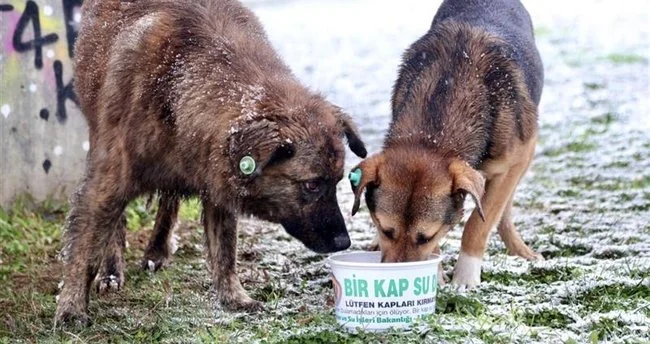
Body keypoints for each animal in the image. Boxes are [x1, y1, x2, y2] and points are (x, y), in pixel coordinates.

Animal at [55, 0, 364, 326]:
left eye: (338, 182)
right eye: (312, 185)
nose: (343, 242)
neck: (176, 86)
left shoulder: (215, 180)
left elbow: (225, 250)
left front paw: (234, 298)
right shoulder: (108, 182)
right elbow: (87, 250)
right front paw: (72, 307)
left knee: (169, 201)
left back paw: (157, 249)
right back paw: (112, 270)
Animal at [350, 0, 540, 290]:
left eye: (425, 237)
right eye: (385, 229)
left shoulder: (515, 161)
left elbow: (478, 223)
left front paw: (466, 276)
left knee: (503, 210)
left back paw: (519, 250)